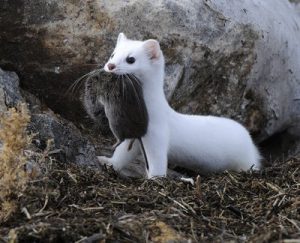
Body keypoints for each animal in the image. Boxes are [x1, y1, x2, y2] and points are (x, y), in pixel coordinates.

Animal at [99, 32, 260, 178]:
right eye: (113, 54)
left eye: (130, 59)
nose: (110, 65)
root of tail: (252, 145)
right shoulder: (135, 135)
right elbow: (122, 154)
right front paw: (107, 161)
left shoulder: (158, 134)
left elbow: (157, 161)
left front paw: (155, 179)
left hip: (245, 160)